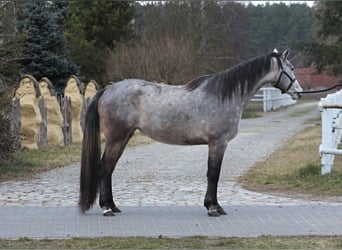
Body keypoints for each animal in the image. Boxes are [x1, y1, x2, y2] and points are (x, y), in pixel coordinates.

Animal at [79, 49, 302, 217]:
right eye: (291, 68)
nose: (298, 92)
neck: (225, 95)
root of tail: (106, 90)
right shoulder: (218, 143)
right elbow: (213, 174)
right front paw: (213, 208)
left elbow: (213, 174)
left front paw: (215, 206)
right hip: (116, 138)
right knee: (104, 168)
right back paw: (106, 208)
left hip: (123, 138)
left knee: (109, 169)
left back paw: (113, 206)